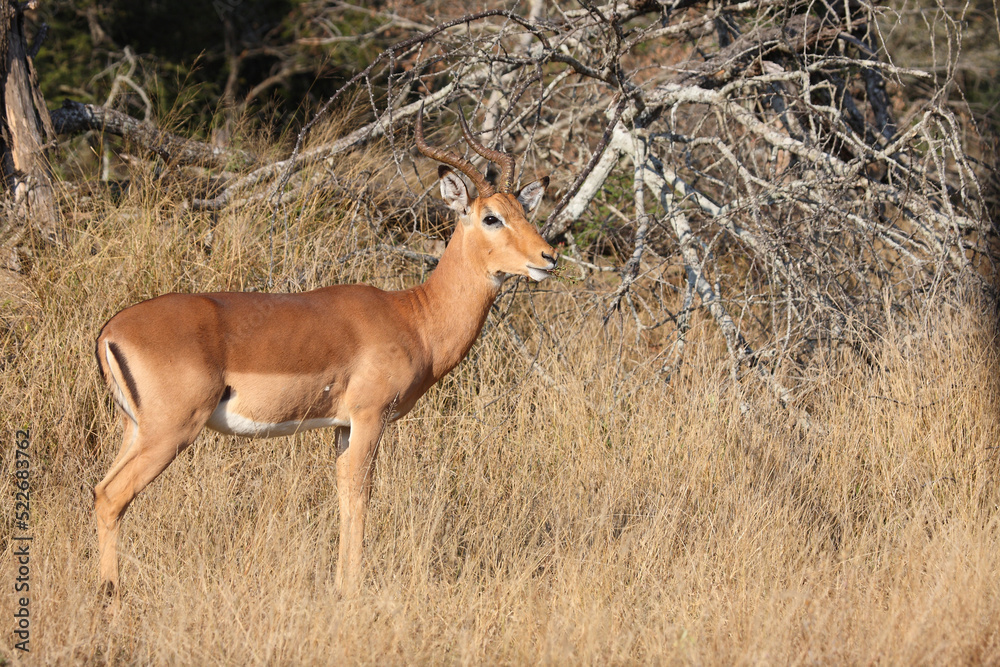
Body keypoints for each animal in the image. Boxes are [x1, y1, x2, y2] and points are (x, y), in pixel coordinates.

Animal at [93, 104, 557, 594]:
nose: (548, 257)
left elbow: (343, 497)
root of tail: (110, 330)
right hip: (171, 431)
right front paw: (351, 588)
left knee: (100, 489)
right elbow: (360, 495)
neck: (414, 317)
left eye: (523, 210)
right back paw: (109, 594)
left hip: (135, 429)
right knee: (111, 497)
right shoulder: (371, 417)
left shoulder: (342, 427)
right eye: (491, 217)